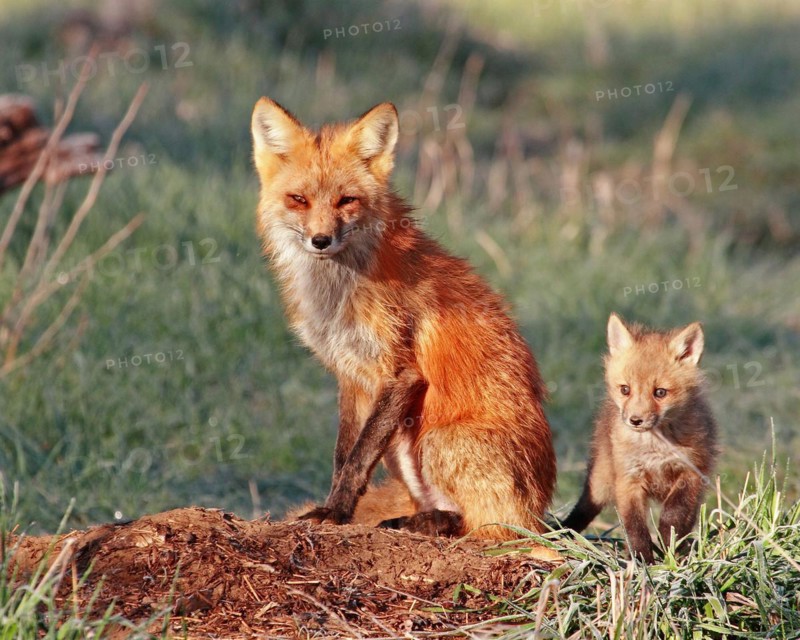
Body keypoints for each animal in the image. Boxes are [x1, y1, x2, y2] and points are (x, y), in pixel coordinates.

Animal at [250, 97, 556, 540]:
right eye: (299, 199)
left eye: (347, 200)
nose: (320, 240)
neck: (339, 290)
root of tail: (541, 512)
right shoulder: (351, 376)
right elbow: (343, 455)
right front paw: (335, 508)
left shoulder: (401, 372)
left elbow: (357, 458)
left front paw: (335, 511)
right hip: (402, 445)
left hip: (438, 440)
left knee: (493, 529)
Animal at [561, 313, 718, 563]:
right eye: (625, 389)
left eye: (660, 392)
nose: (635, 420)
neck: (655, 446)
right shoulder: (628, 480)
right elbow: (634, 526)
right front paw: (642, 560)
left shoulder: (691, 472)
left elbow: (674, 515)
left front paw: (667, 545)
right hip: (600, 481)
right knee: (584, 507)